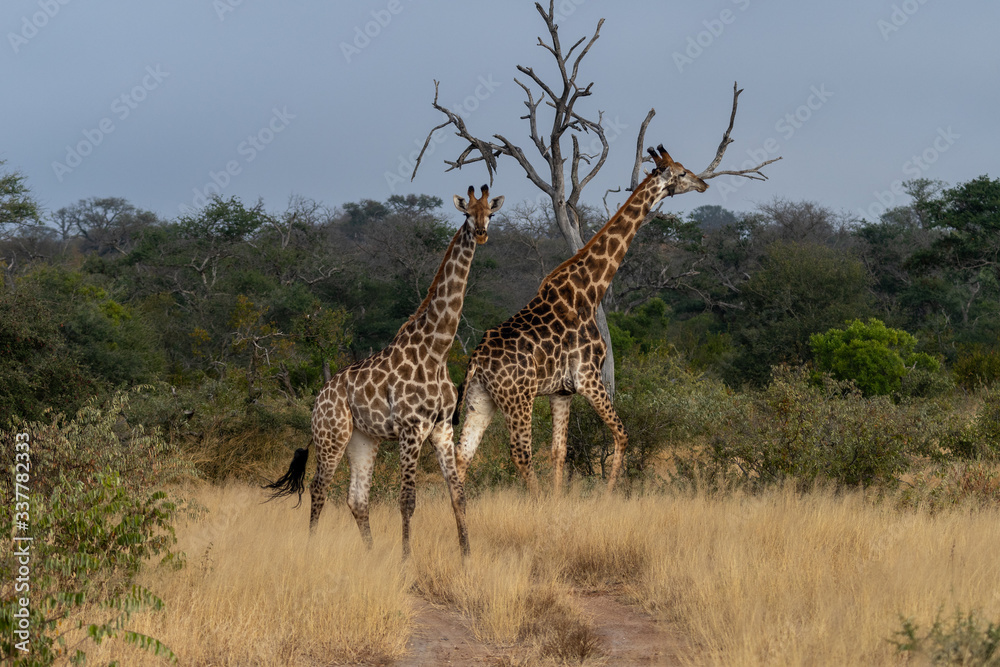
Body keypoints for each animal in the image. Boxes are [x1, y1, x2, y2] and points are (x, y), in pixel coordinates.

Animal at [265, 185, 504, 557]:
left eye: (490, 214)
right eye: (467, 213)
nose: (480, 233)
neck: (437, 350)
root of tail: (319, 397)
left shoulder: (442, 429)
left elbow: (458, 496)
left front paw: (467, 555)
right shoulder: (411, 429)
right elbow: (407, 500)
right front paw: (407, 558)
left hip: (363, 439)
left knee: (357, 499)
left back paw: (370, 554)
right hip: (331, 435)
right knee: (319, 489)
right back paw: (311, 548)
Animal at [453, 146, 708, 495]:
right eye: (682, 173)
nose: (703, 184)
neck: (591, 289)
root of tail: (476, 360)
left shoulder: (562, 391)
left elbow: (559, 450)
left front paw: (560, 499)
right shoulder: (588, 377)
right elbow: (622, 434)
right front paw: (608, 495)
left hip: (481, 399)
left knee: (464, 455)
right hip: (518, 399)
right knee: (520, 454)